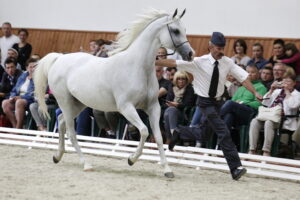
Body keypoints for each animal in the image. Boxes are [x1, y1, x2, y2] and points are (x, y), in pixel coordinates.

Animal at [34, 9, 193, 178]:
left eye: (184, 30)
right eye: (175, 30)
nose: (190, 54)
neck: (138, 67)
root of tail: (59, 58)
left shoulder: (153, 107)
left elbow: (158, 137)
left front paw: (167, 170)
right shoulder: (126, 107)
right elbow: (144, 131)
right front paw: (131, 159)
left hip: (78, 104)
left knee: (61, 120)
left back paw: (57, 156)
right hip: (65, 102)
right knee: (71, 132)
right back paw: (86, 164)